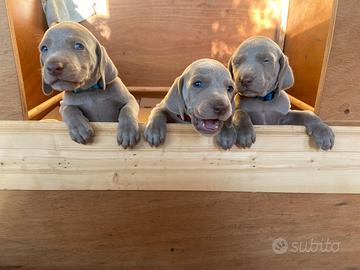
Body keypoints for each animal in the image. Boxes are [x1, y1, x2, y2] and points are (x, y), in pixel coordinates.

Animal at [39, 21, 140, 149]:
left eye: (78, 46)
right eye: (44, 48)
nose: (53, 67)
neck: (90, 91)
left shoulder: (129, 100)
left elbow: (127, 109)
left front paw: (127, 130)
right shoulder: (64, 104)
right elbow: (68, 108)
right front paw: (79, 128)